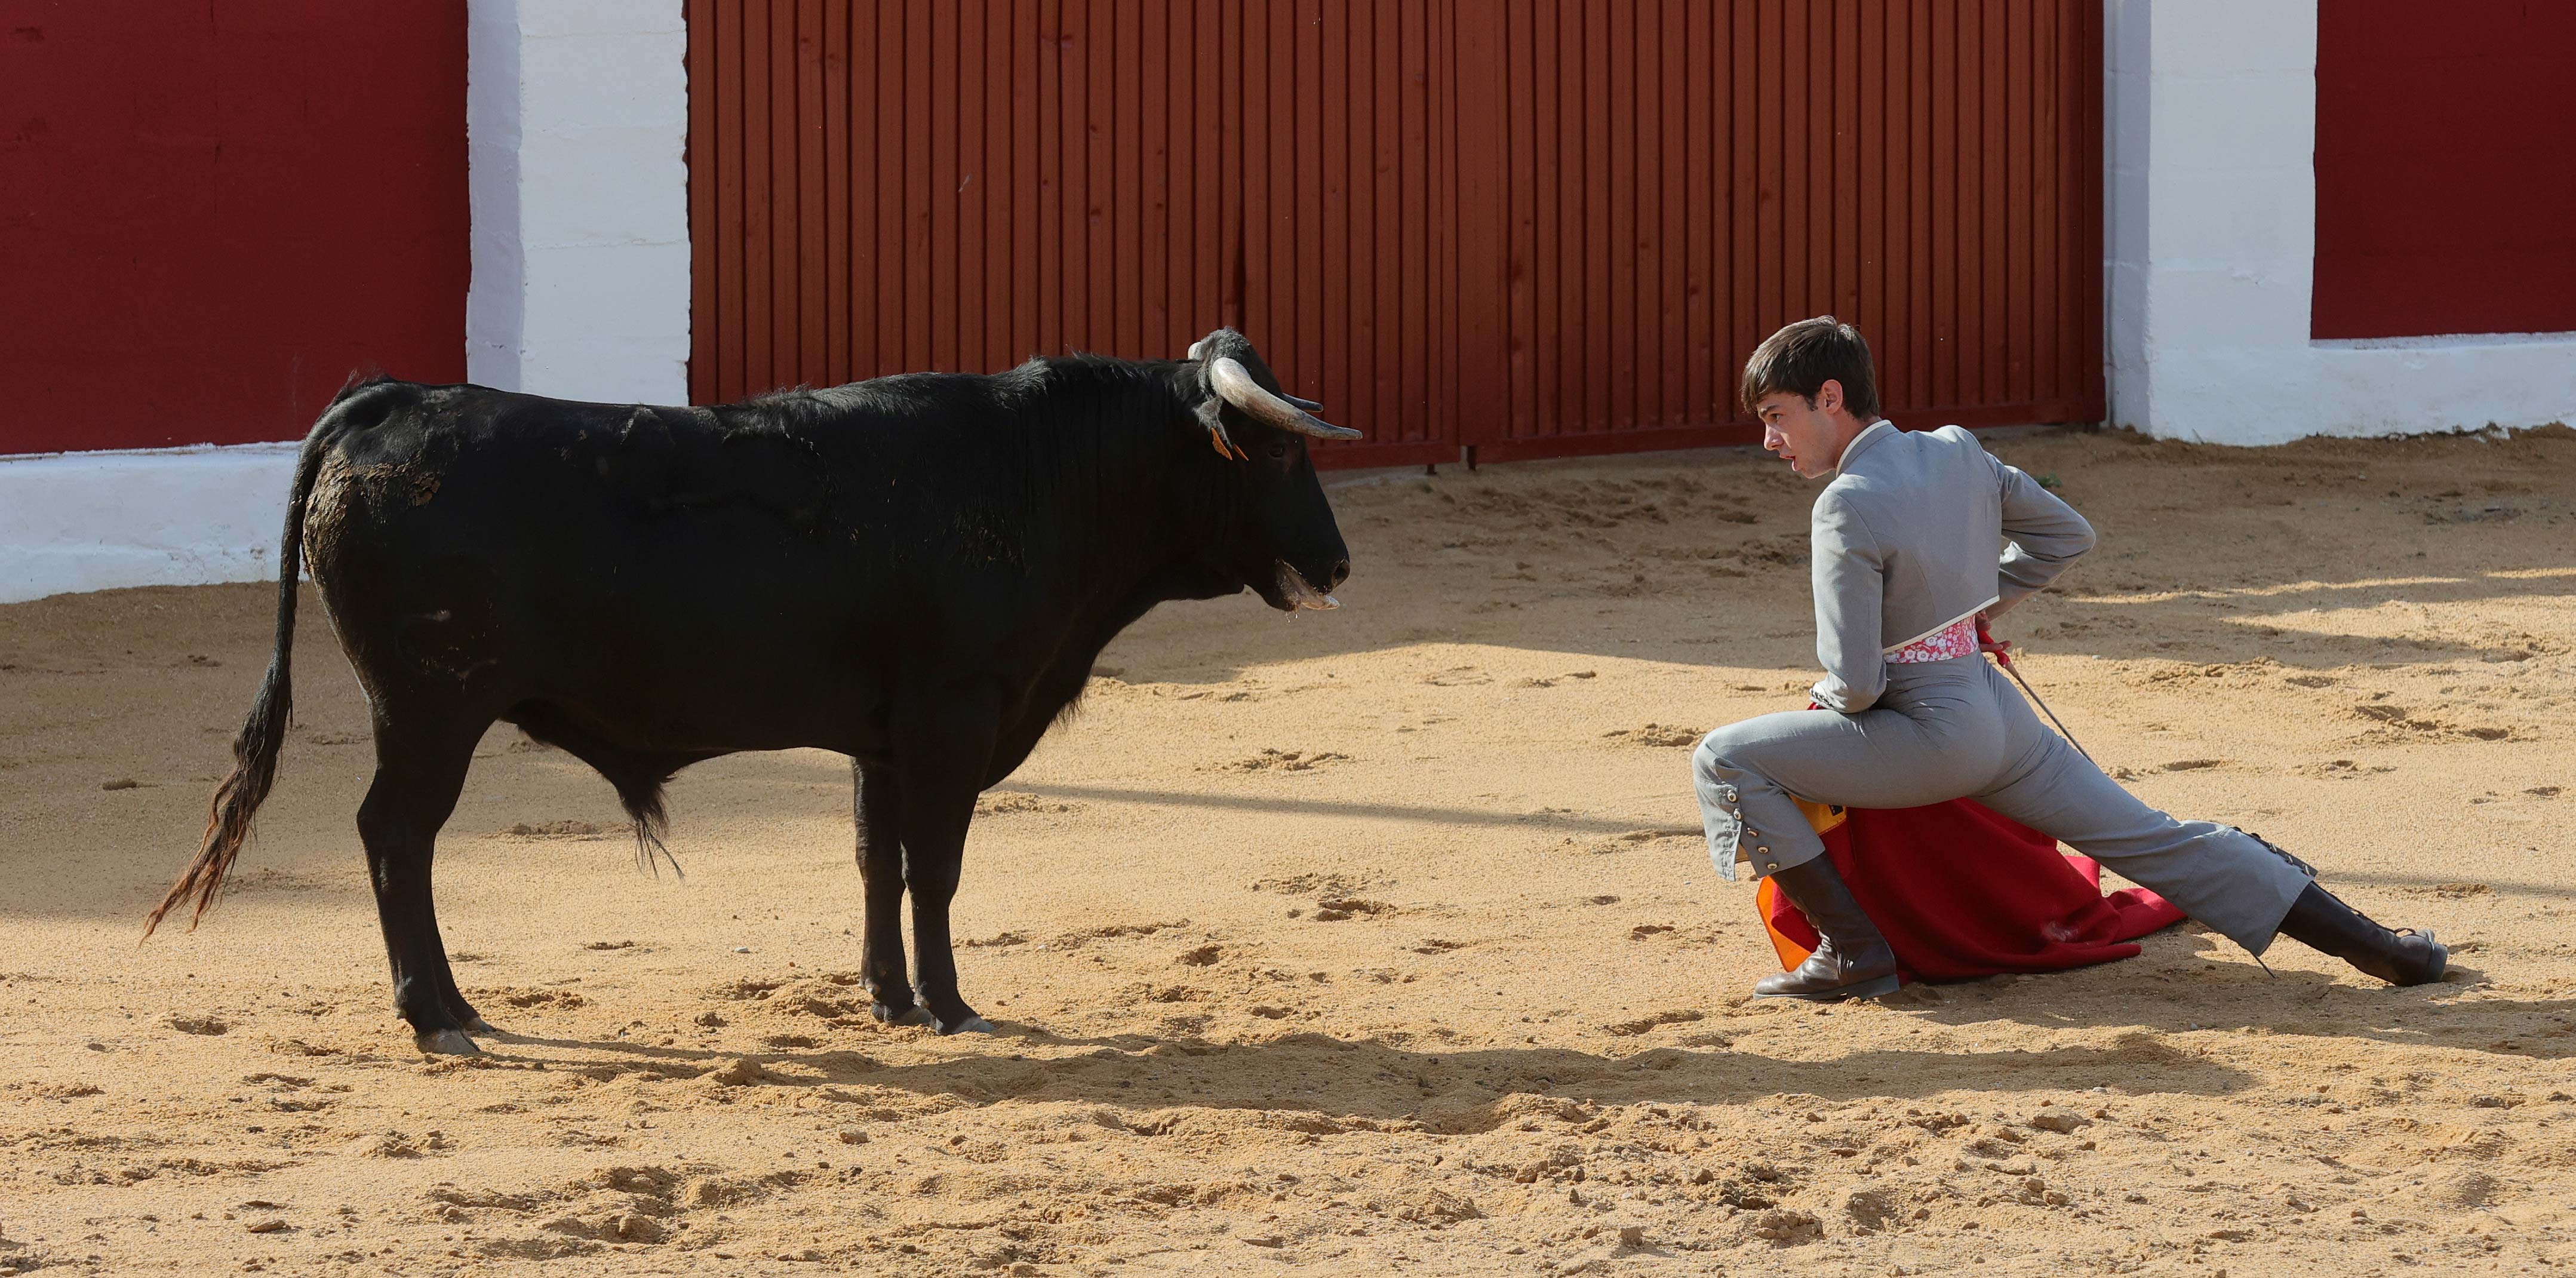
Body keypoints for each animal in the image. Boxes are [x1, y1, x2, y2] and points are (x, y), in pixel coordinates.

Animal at [148, 324, 1360, 1051]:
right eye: (1278, 453)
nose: (1341, 563)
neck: (1043, 472)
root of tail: (388, 401)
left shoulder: (882, 738)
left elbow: (878, 861)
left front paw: (887, 996)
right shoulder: (953, 716)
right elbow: (937, 868)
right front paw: (952, 1008)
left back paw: (453, 1007)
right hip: (429, 709)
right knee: (396, 836)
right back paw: (436, 1014)